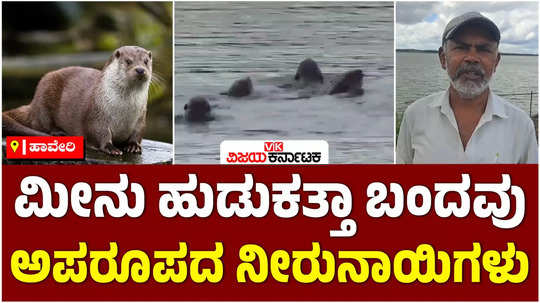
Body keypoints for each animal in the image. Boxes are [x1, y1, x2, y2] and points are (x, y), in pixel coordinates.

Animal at [2, 46, 152, 156]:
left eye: (146, 61)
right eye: (128, 61)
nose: (140, 70)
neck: (124, 111)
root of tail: (32, 106)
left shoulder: (140, 118)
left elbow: (138, 133)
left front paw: (133, 146)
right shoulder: (97, 114)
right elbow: (98, 132)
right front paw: (110, 148)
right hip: (44, 94)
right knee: (42, 123)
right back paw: (59, 132)